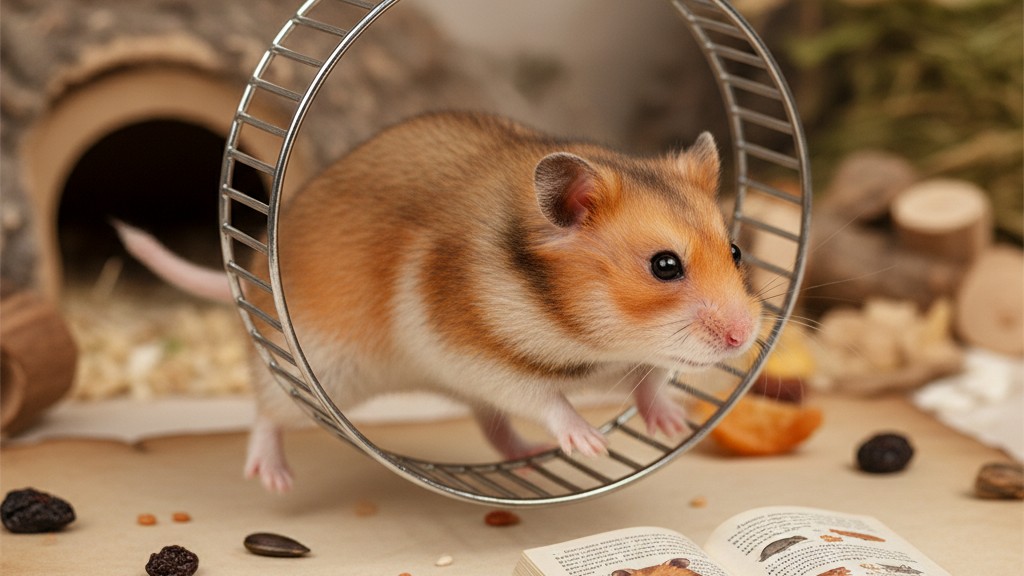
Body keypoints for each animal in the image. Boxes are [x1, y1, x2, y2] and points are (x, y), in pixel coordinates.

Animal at [116, 111, 762, 493]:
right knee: (268, 410)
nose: (744, 338)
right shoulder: (477, 356)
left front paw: (672, 424)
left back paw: (530, 457)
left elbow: (650, 381)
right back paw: (273, 478)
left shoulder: (627, 363)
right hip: (317, 369)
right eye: (664, 266)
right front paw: (591, 442)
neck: (585, 336)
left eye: (734, 249)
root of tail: (250, 279)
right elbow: (548, 399)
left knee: (494, 429)